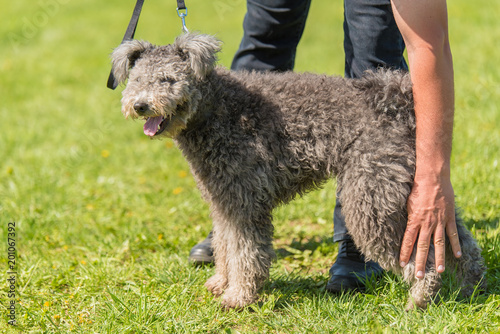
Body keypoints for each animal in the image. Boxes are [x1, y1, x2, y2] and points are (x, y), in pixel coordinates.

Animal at [111, 32, 486, 310]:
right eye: (137, 79)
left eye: (168, 79)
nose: (140, 105)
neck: (217, 108)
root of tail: (397, 99)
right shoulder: (225, 200)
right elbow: (225, 245)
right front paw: (222, 282)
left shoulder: (244, 202)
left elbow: (246, 252)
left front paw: (239, 297)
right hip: (409, 187)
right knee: (457, 239)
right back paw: (471, 286)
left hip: (371, 197)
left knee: (421, 256)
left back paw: (420, 300)